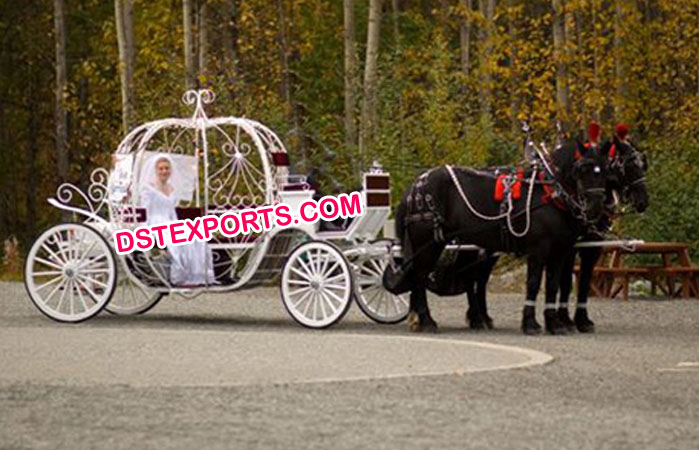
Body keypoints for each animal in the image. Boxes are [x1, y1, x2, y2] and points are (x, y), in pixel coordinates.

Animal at [392, 141, 608, 334]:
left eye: (604, 170)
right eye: (582, 169)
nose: (596, 207)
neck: (549, 192)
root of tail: (416, 185)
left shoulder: (560, 250)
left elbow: (553, 284)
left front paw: (554, 324)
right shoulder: (538, 249)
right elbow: (533, 283)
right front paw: (530, 323)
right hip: (427, 242)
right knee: (420, 276)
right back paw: (427, 320)